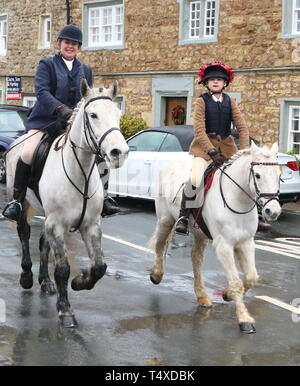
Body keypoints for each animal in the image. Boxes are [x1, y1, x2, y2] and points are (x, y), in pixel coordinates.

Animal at [4, 80, 129, 328]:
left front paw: (80, 282)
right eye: (93, 115)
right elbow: (62, 268)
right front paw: (65, 310)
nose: (118, 153)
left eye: (118, 114)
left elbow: (99, 267)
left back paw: (44, 281)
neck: (79, 171)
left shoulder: (90, 225)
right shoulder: (57, 224)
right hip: (23, 202)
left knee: (42, 242)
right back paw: (27, 276)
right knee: (24, 234)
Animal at [149, 140, 282, 334]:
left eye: (278, 175)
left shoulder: (246, 242)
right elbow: (236, 282)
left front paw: (227, 294)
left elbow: (251, 277)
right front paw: (244, 320)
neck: (238, 200)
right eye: (257, 175)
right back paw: (156, 275)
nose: (273, 211)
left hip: (199, 233)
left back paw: (202, 296)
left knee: (196, 259)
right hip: (166, 219)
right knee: (160, 245)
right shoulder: (223, 245)